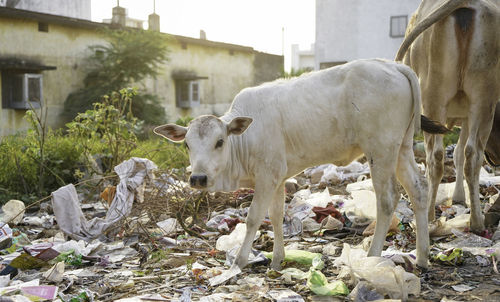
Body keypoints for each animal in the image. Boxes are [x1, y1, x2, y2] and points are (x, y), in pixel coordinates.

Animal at [154, 59, 444, 268]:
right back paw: (422, 257)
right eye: (187, 144)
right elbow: (276, 216)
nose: (198, 178)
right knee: (418, 189)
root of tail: (394, 65)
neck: (243, 140)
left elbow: (253, 218)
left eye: (220, 141)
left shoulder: (267, 176)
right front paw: (276, 259)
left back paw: (373, 256)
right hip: (402, 148)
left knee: (387, 199)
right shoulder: (278, 177)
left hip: (380, 150)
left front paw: (240, 260)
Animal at [396, 0, 498, 234]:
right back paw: (476, 221)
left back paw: (430, 215)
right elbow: (460, 152)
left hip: (434, 96)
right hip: (481, 99)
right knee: (471, 155)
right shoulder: (467, 114)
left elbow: (458, 152)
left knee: (437, 157)